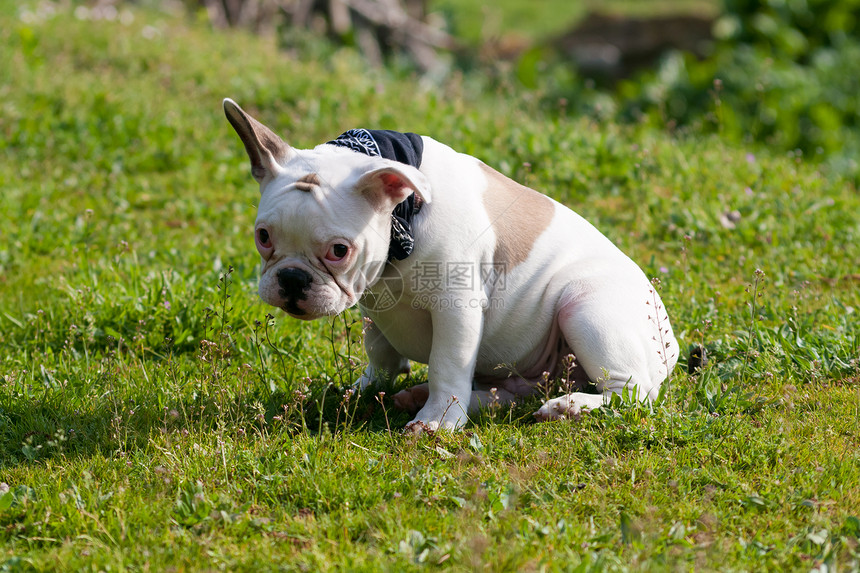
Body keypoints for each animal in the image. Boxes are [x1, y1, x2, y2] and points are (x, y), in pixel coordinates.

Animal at [223, 98, 680, 428]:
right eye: (263, 237)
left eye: (339, 250)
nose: (292, 278)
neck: (402, 218)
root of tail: (670, 346)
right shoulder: (375, 304)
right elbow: (380, 353)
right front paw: (367, 388)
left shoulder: (455, 307)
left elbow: (447, 363)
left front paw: (437, 422)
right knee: (512, 394)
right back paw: (427, 396)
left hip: (584, 307)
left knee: (633, 392)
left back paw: (570, 406)